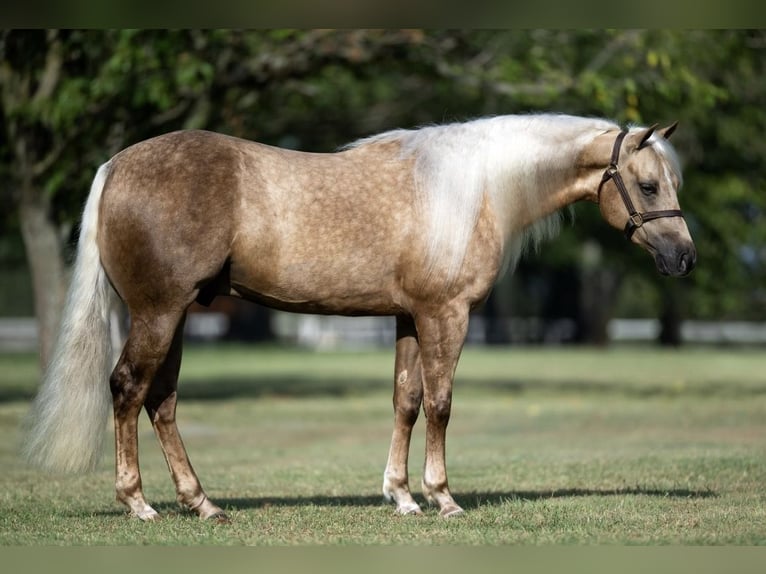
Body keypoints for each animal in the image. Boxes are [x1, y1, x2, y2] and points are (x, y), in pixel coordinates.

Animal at [22, 113, 696, 520]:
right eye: (648, 185)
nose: (684, 257)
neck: (474, 191)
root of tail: (116, 166)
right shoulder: (445, 315)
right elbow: (441, 404)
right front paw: (442, 498)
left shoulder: (408, 318)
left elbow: (406, 402)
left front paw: (401, 497)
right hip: (158, 314)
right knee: (128, 390)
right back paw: (138, 503)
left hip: (179, 315)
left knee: (161, 401)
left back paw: (203, 504)